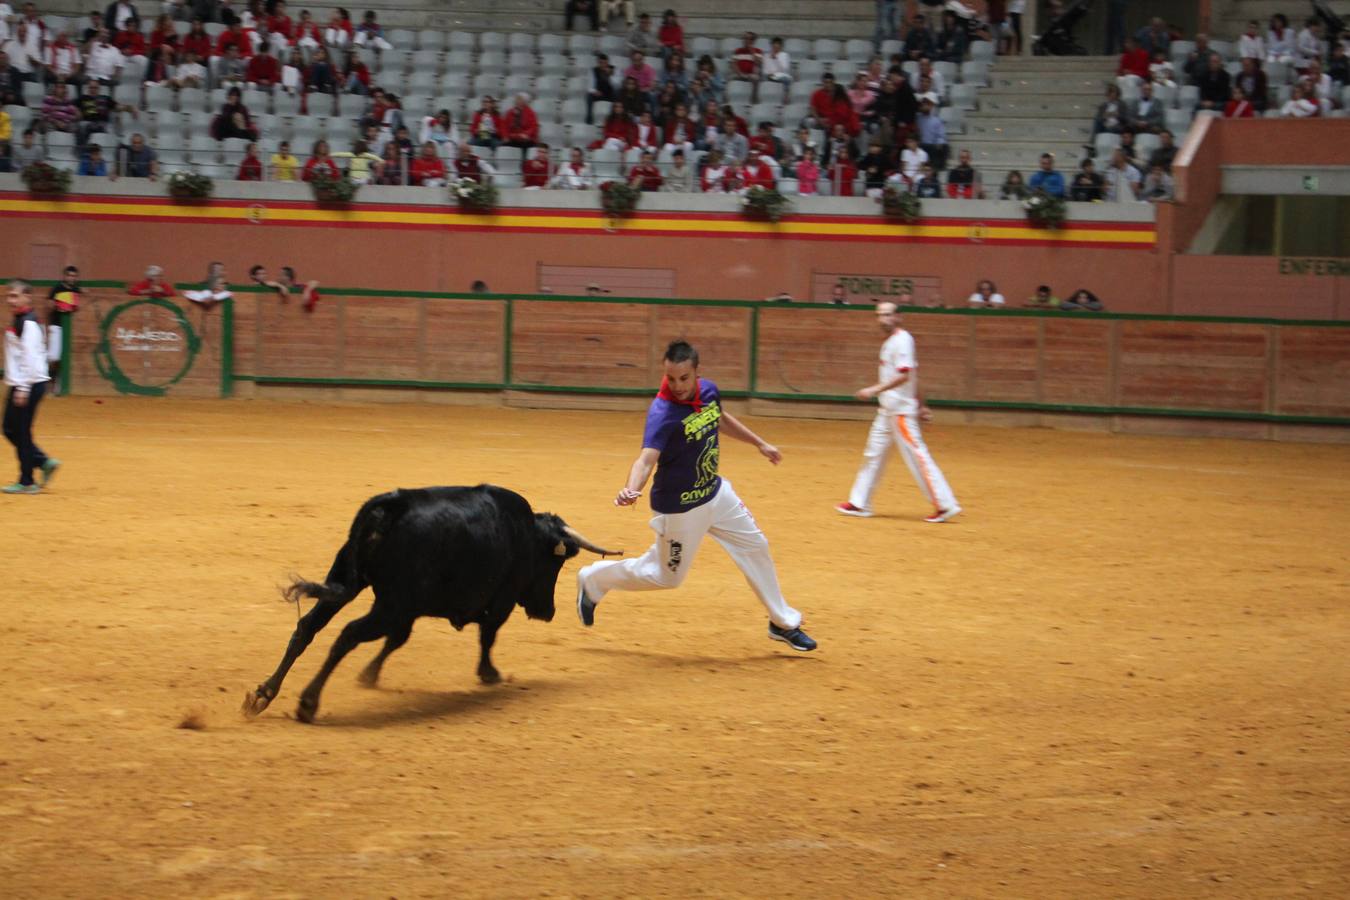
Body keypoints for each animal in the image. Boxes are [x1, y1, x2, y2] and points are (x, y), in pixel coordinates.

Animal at [241, 485, 618, 723]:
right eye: (555, 563)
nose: (547, 612)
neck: (525, 532)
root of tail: (389, 506)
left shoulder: (409, 611)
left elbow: (398, 640)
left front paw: (369, 675)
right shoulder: (500, 602)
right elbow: (488, 636)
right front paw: (489, 673)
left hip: (347, 582)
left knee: (308, 627)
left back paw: (263, 694)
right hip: (387, 605)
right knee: (347, 634)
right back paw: (308, 702)